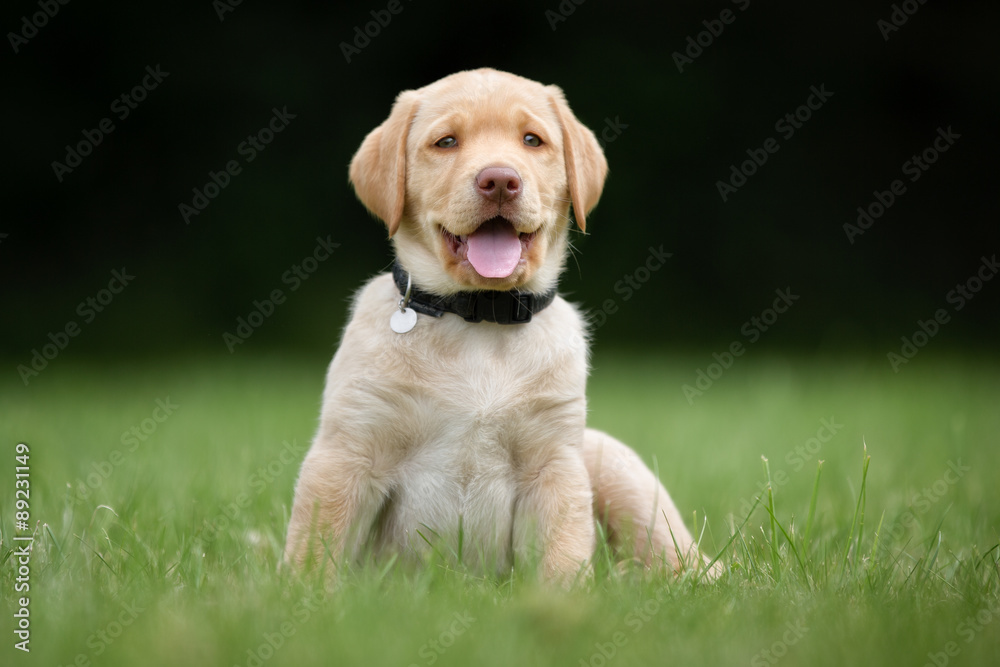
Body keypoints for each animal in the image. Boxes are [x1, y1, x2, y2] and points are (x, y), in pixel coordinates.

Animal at [286, 65, 716, 580]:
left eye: (532, 140)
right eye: (446, 142)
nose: (499, 180)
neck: (480, 319)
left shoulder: (555, 464)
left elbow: (563, 556)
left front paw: (565, 599)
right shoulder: (347, 450)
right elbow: (315, 548)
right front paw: (302, 596)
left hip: (614, 465)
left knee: (679, 556)